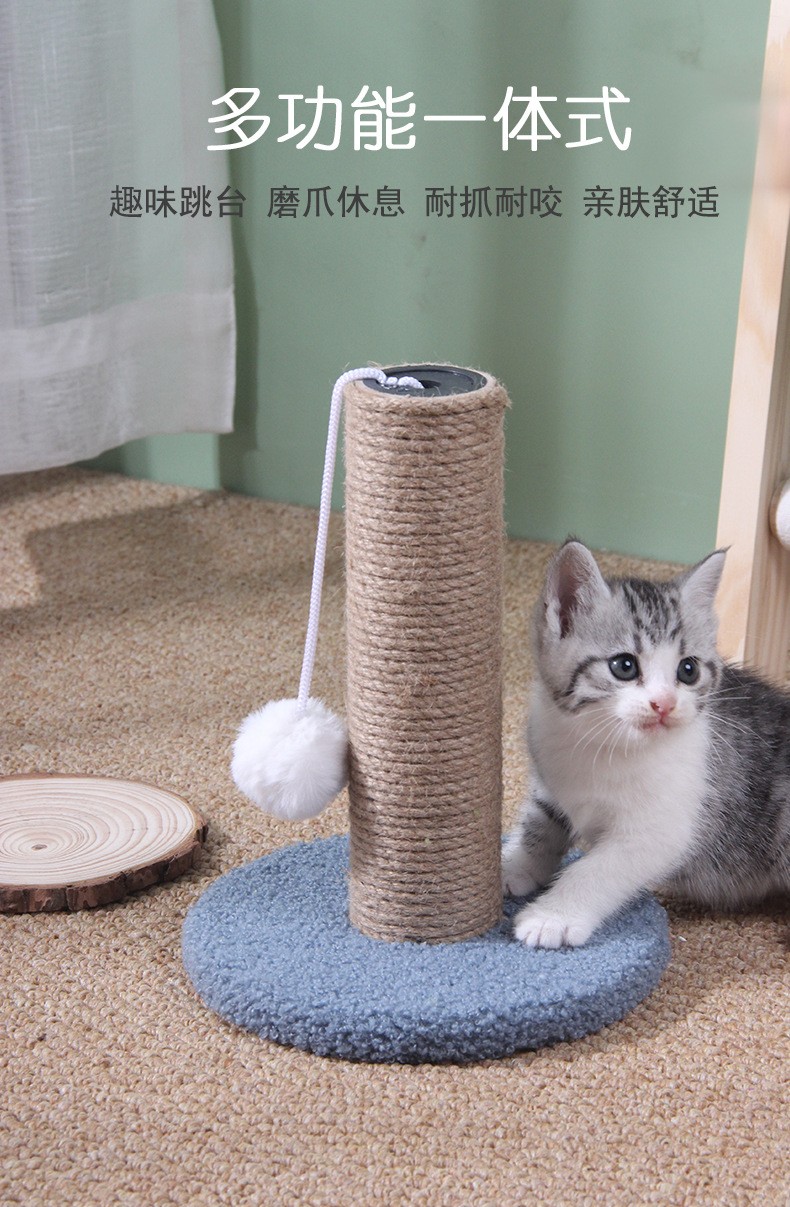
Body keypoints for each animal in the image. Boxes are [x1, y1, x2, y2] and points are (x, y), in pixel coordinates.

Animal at [502, 538, 790, 948]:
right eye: (624, 666)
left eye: (688, 670)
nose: (664, 704)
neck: (600, 745)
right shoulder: (549, 779)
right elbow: (540, 823)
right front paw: (515, 865)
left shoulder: (659, 830)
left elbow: (598, 868)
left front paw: (551, 917)